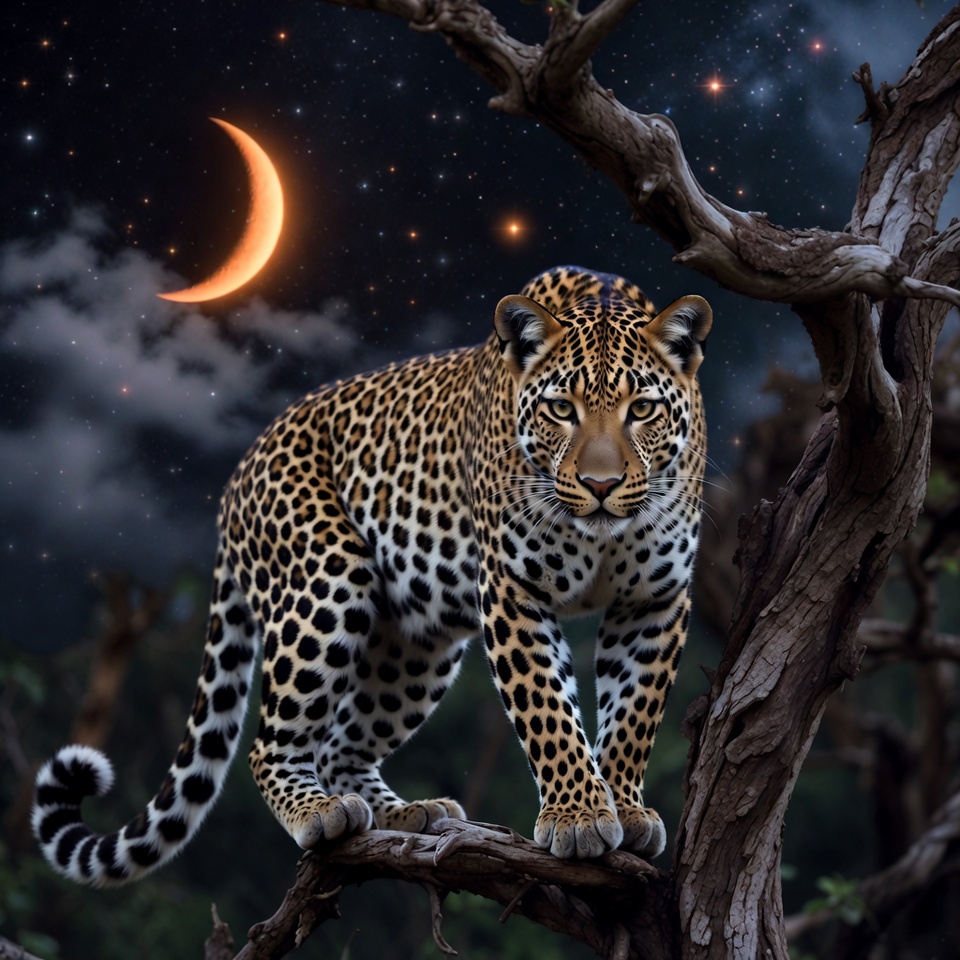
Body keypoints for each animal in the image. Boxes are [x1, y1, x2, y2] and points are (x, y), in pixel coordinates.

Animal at [33, 266, 711, 887]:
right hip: (326, 580)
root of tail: (238, 476)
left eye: (642, 409)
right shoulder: (513, 590)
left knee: (341, 745)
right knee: (269, 744)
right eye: (561, 410)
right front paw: (579, 817)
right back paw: (318, 810)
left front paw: (623, 806)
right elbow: (547, 708)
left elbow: (634, 712)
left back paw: (408, 813)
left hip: (416, 643)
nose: (601, 486)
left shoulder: (655, 599)